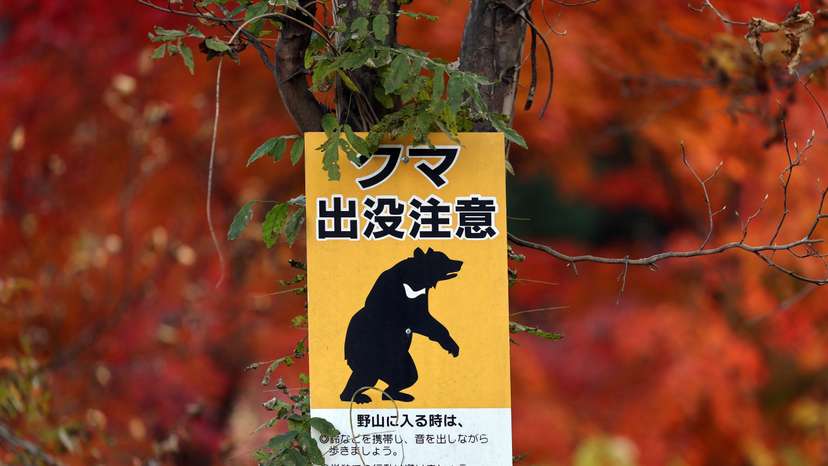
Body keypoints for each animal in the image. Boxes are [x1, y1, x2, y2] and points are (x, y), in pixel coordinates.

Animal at [339, 247, 463, 404]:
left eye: (446, 257)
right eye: (442, 259)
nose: (460, 262)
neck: (414, 283)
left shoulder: (419, 297)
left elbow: (425, 321)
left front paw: (451, 346)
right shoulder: (393, 294)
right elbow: (414, 319)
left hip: (400, 360)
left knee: (408, 376)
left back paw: (396, 395)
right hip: (367, 353)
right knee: (365, 374)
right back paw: (357, 397)